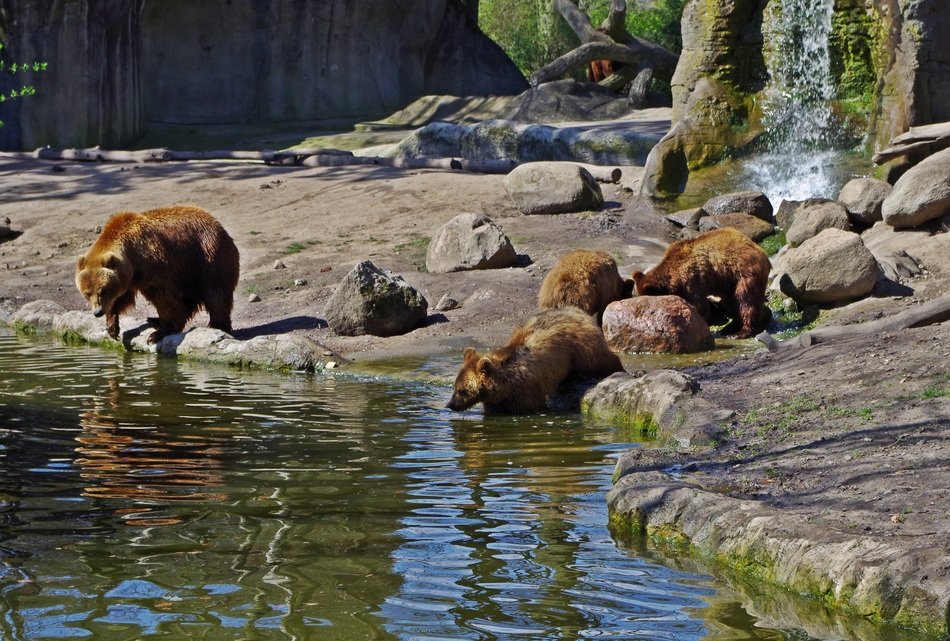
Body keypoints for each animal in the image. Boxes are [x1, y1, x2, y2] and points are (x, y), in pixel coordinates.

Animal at [75, 205, 240, 344]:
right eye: (87, 293)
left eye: (103, 291)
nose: (97, 312)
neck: (132, 256)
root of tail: (221, 227)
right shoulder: (129, 277)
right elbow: (123, 297)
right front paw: (112, 326)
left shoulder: (154, 265)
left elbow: (164, 297)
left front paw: (157, 334)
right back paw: (154, 319)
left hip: (207, 257)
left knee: (215, 293)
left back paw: (217, 325)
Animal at [447, 306, 624, 415]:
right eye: (455, 387)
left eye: (462, 390)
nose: (450, 405)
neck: (503, 385)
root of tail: (575, 310)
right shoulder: (497, 399)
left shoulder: (526, 391)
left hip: (582, 347)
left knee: (600, 360)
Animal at [630, 227, 771, 339]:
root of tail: (761, 252)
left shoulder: (693, 280)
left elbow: (700, 305)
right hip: (729, 283)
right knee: (732, 302)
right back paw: (729, 327)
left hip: (744, 273)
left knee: (745, 300)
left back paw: (740, 332)